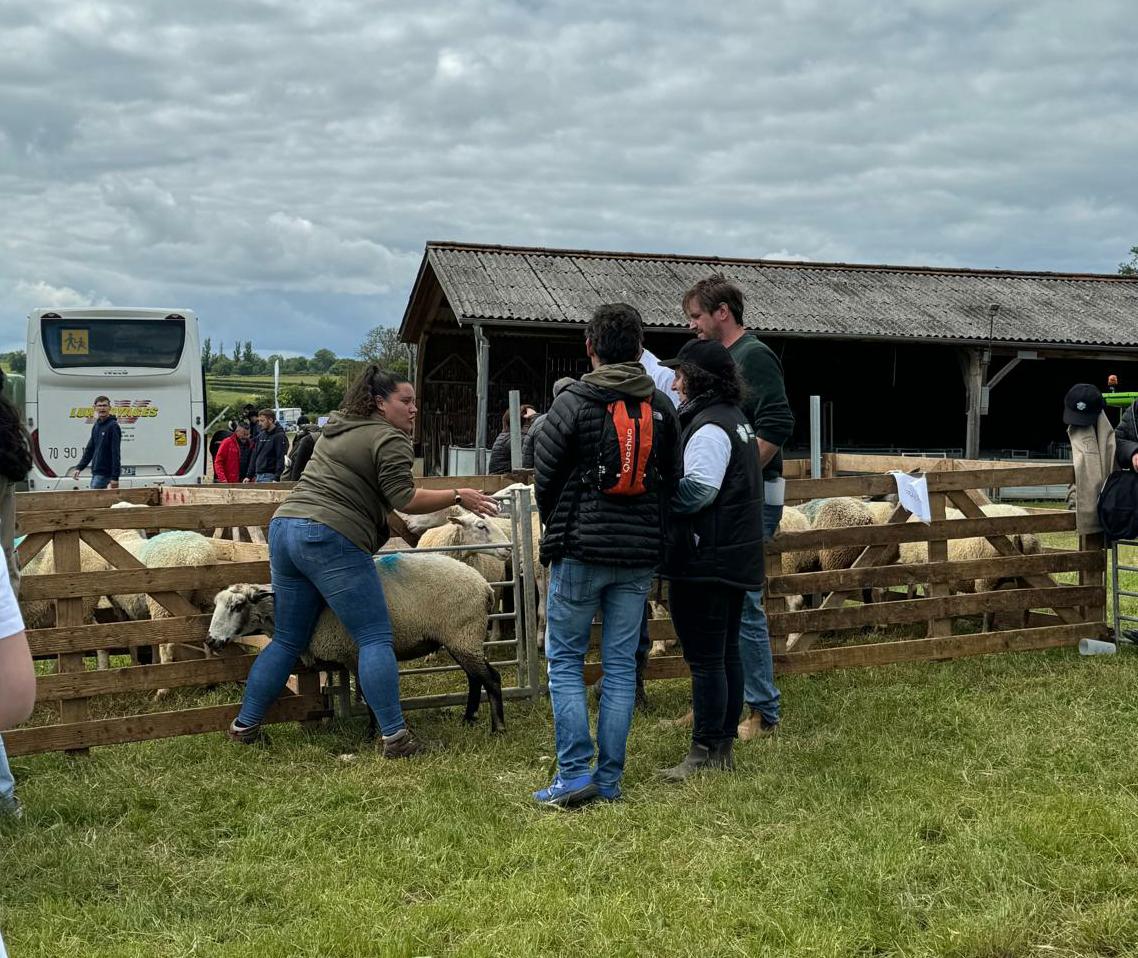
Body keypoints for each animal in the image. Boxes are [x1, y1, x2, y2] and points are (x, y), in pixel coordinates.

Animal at [209, 546, 502, 732]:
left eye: (237, 606)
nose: (211, 641)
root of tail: (484, 587)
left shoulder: (352, 652)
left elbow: (369, 693)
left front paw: (372, 732)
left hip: (464, 633)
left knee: (490, 678)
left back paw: (497, 728)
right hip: (461, 638)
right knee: (475, 678)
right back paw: (469, 718)